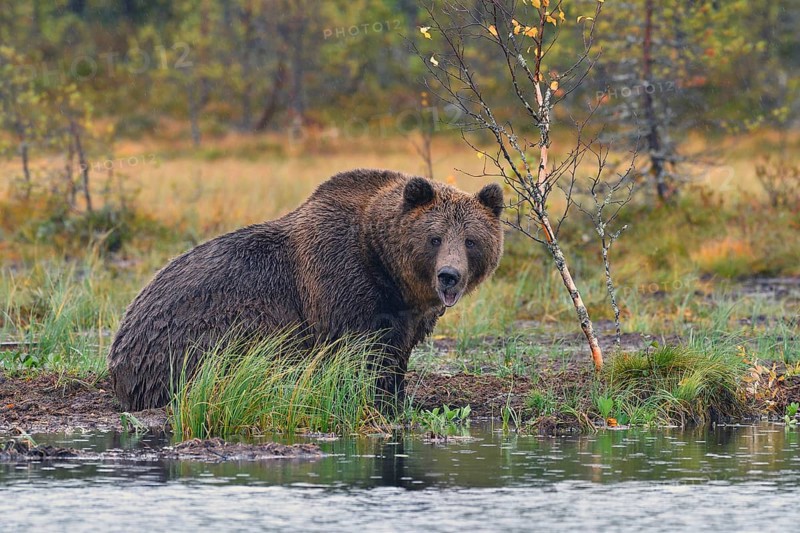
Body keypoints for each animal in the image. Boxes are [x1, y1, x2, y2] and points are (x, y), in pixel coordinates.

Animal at [107, 169, 504, 411]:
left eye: (470, 240)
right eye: (434, 237)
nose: (449, 276)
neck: (385, 268)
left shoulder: (408, 313)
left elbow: (396, 353)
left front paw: (396, 398)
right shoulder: (339, 282)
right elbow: (358, 351)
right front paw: (369, 397)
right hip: (202, 327)